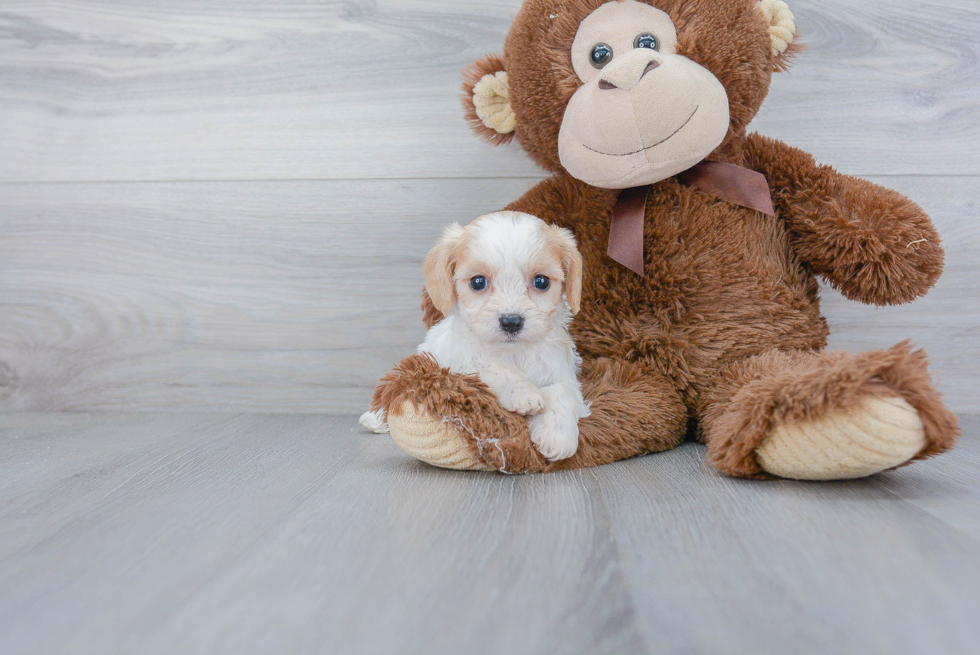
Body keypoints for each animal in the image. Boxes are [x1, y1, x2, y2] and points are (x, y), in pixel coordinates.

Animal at [360, 210, 588, 462]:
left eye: (542, 281)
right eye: (478, 282)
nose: (511, 321)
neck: (514, 352)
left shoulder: (563, 373)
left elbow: (560, 392)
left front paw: (557, 436)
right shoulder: (461, 366)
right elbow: (493, 368)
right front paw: (523, 394)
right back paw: (374, 419)